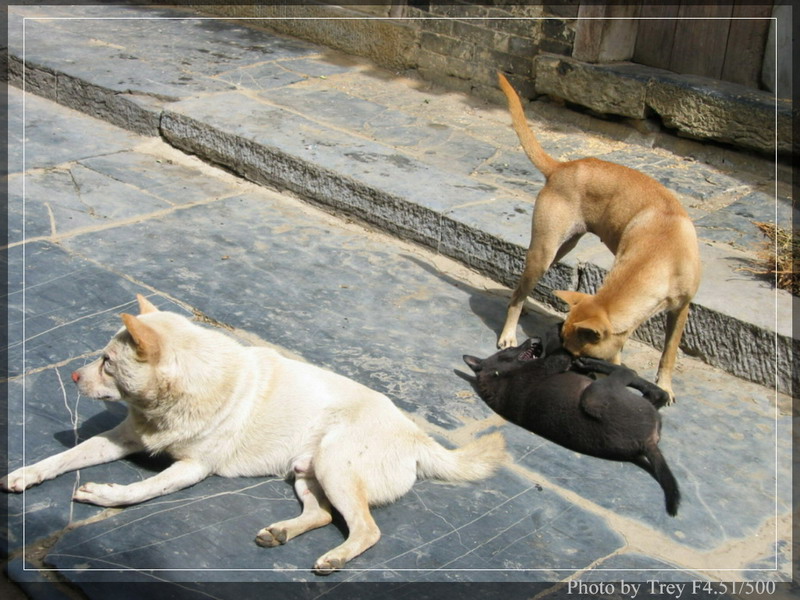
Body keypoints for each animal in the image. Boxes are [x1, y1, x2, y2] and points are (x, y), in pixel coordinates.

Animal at [2, 294, 507, 574]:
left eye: (107, 362)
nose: (72, 376)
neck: (170, 402)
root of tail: (418, 438)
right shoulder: (122, 437)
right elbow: (65, 458)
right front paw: (26, 473)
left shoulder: (191, 470)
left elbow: (141, 491)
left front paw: (103, 494)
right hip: (307, 473)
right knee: (322, 515)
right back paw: (281, 533)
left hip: (335, 465)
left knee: (366, 528)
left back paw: (335, 557)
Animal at [463, 334, 680, 516]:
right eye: (510, 348)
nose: (536, 338)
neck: (499, 375)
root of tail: (647, 442)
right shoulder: (548, 364)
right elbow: (560, 355)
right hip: (594, 397)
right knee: (631, 376)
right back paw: (595, 363)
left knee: (656, 395)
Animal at [495, 72, 701, 403]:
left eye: (578, 355)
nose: (555, 364)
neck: (661, 251)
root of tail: (562, 167)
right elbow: (621, 353)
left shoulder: (681, 308)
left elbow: (669, 351)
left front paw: (665, 386)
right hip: (544, 251)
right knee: (518, 292)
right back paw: (508, 333)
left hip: (562, 247)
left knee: (520, 287)